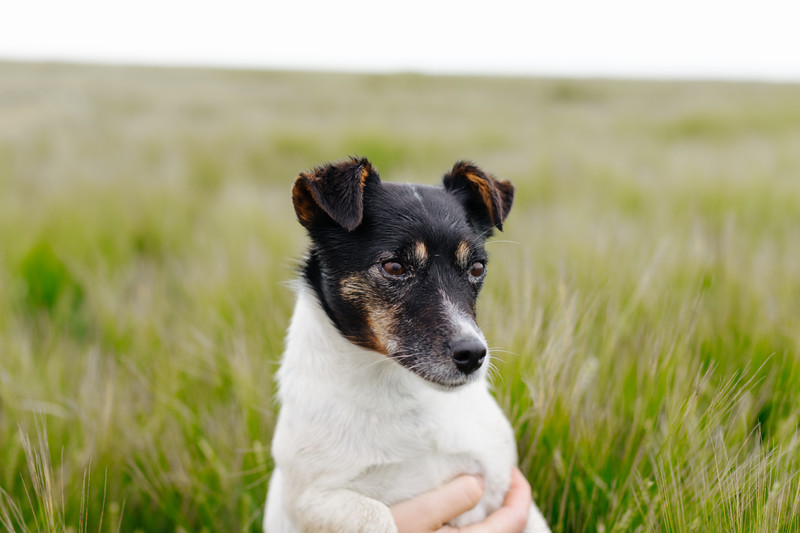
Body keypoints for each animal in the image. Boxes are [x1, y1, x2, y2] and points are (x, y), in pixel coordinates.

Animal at [266, 156, 548, 528]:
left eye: (476, 268)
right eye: (394, 267)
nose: (473, 354)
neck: (405, 395)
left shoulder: (503, 482)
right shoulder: (310, 500)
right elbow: (375, 516)